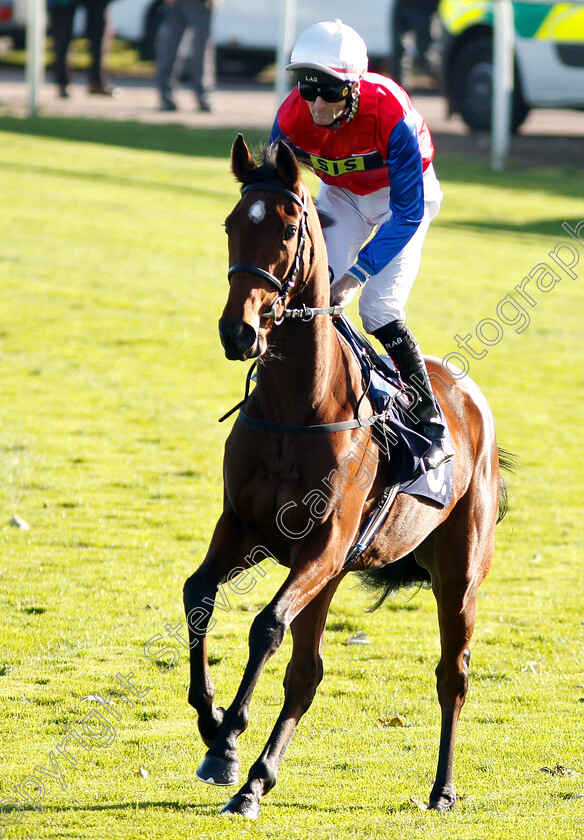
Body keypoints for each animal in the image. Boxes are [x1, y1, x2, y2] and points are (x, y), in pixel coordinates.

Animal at [182, 135, 506, 816]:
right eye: (230, 224)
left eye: (286, 229)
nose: (238, 331)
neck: (296, 408)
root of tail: (468, 395)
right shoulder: (247, 529)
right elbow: (198, 594)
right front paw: (213, 726)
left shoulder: (324, 543)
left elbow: (265, 625)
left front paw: (227, 740)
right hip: (330, 576)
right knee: (307, 675)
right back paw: (256, 781)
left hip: (458, 572)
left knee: (453, 674)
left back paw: (442, 787)